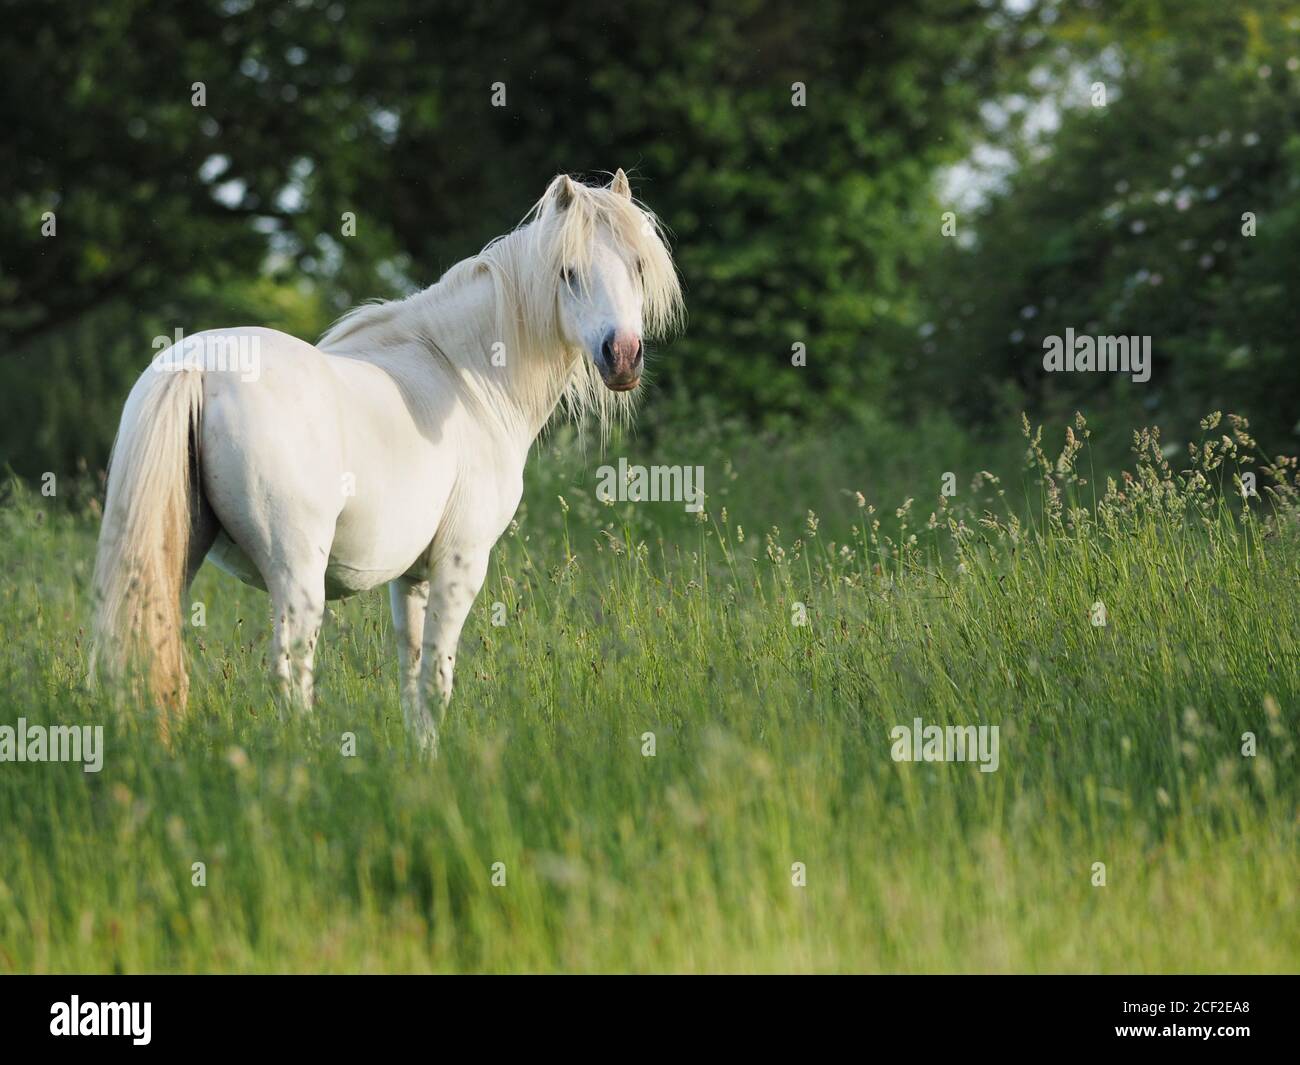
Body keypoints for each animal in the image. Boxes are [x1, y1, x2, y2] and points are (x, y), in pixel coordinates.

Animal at [90, 170, 681, 749]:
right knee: (290, 674)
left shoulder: (412, 580)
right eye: (568, 272)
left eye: (637, 265)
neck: (464, 376)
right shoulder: (459, 564)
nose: (622, 356)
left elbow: (412, 677)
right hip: (296, 577)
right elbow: (437, 680)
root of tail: (198, 364)